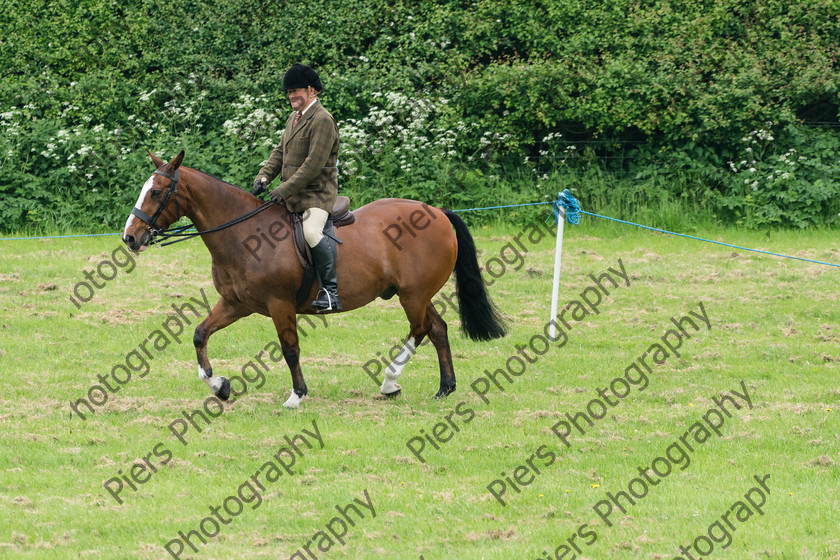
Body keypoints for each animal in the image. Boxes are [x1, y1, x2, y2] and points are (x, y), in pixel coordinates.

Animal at [123, 151, 506, 410]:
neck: (244, 235)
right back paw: (445, 387)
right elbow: (200, 334)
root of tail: (437, 212)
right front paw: (220, 386)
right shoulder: (236, 304)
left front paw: (296, 396)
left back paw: (389, 383)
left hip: (412, 295)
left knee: (421, 329)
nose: (130, 237)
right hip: (417, 295)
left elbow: (290, 349)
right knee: (437, 329)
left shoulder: (280, 304)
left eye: (156, 192)